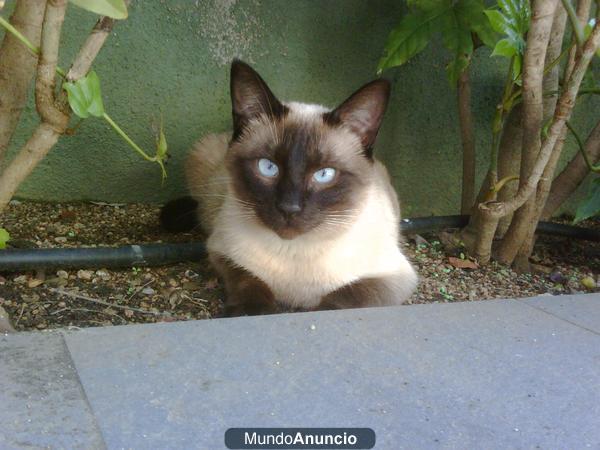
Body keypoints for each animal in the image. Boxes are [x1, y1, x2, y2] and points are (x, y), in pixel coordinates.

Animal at [162, 59, 420, 316]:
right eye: (268, 167)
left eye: (324, 174)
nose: (289, 208)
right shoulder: (221, 251)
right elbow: (249, 280)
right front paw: (250, 311)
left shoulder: (393, 279)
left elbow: (344, 298)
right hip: (202, 158)